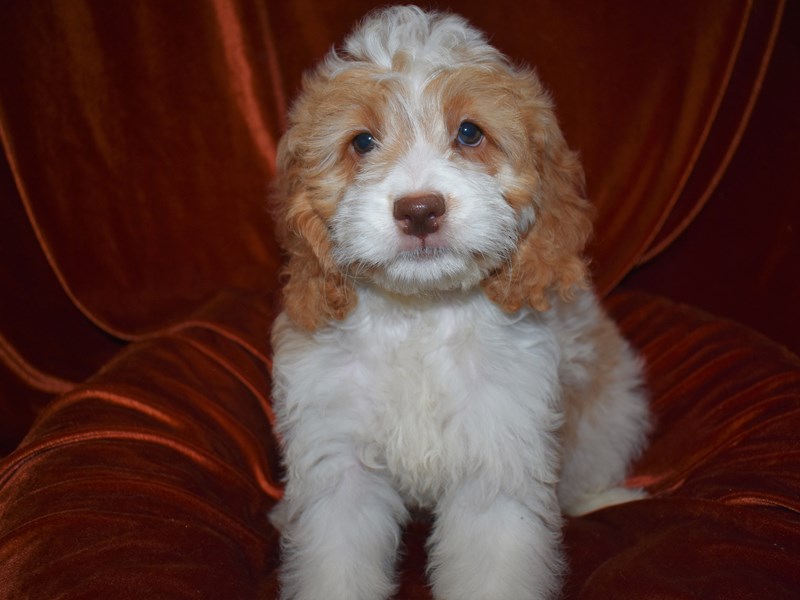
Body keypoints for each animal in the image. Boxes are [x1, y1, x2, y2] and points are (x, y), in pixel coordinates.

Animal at [268, 5, 648, 600]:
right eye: (362, 142)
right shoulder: (338, 460)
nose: (420, 210)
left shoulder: (498, 456)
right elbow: (336, 562)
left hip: (613, 410)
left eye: (470, 133)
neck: (421, 316)